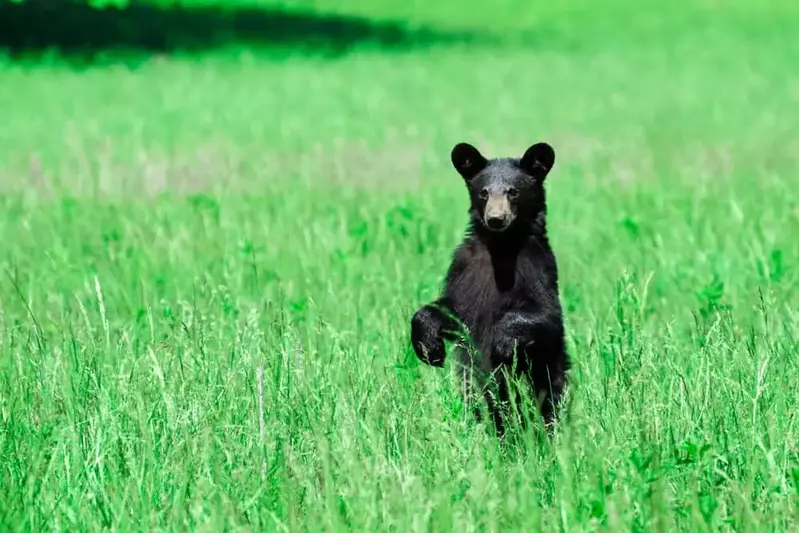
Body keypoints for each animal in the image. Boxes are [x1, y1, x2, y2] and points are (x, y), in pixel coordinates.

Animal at [410, 140, 569, 438]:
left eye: (513, 191)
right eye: (483, 192)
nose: (496, 218)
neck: (501, 247)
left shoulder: (538, 267)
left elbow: (547, 316)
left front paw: (504, 342)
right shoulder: (465, 269)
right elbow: (450, 309)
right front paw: (429, 347)